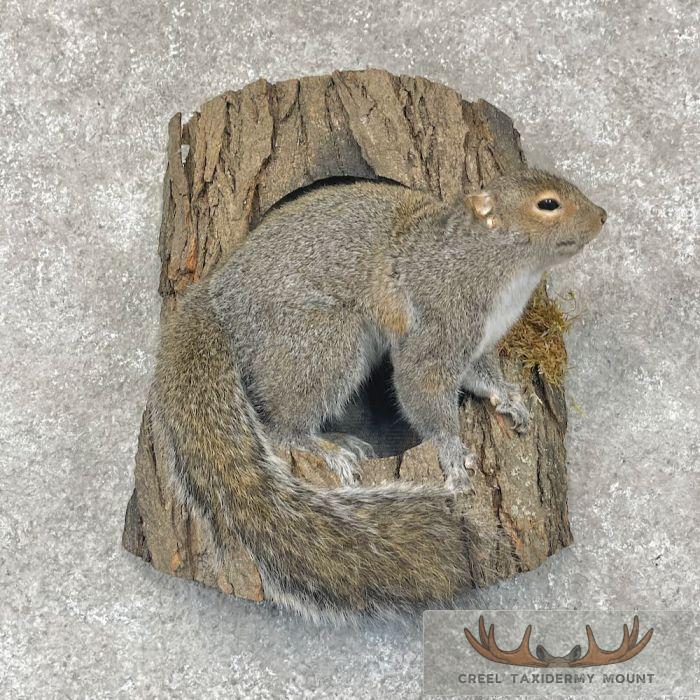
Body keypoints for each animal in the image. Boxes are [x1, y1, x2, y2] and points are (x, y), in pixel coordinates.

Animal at [151, 167, 607, 621]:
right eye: (547, 204)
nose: (602, 216)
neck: (490, 264)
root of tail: (218, 301)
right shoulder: (438, 321)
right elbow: (419, 384)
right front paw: (451, 449)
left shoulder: (476, 343)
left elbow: (480, 376)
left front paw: (508, 398)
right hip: (326, 342)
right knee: (282, 426)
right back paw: (325, 446)